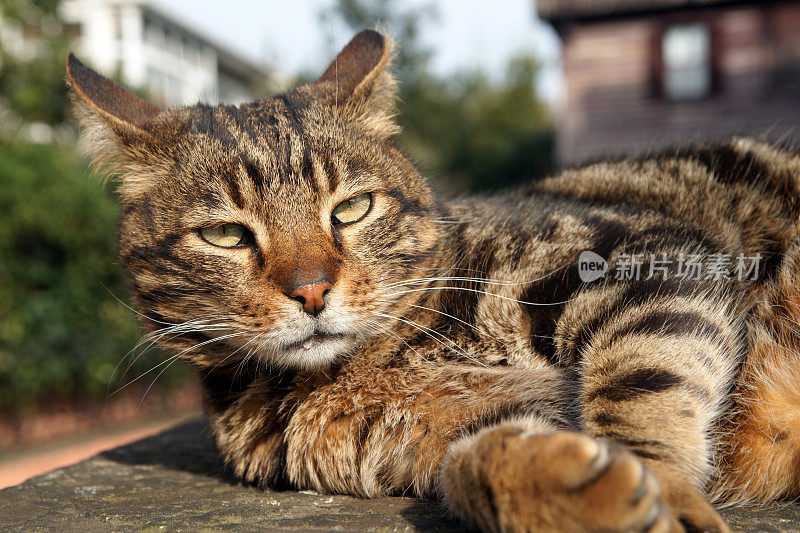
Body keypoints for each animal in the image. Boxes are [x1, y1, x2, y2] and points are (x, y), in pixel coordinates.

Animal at [65, 30, 800, 532]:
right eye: (225, 235)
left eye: (352, 208)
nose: (311, 291)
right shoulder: (436, 433)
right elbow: (473, 466)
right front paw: (573, 489)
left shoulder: (643, 255)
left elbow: (639, 389)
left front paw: (662, 488)